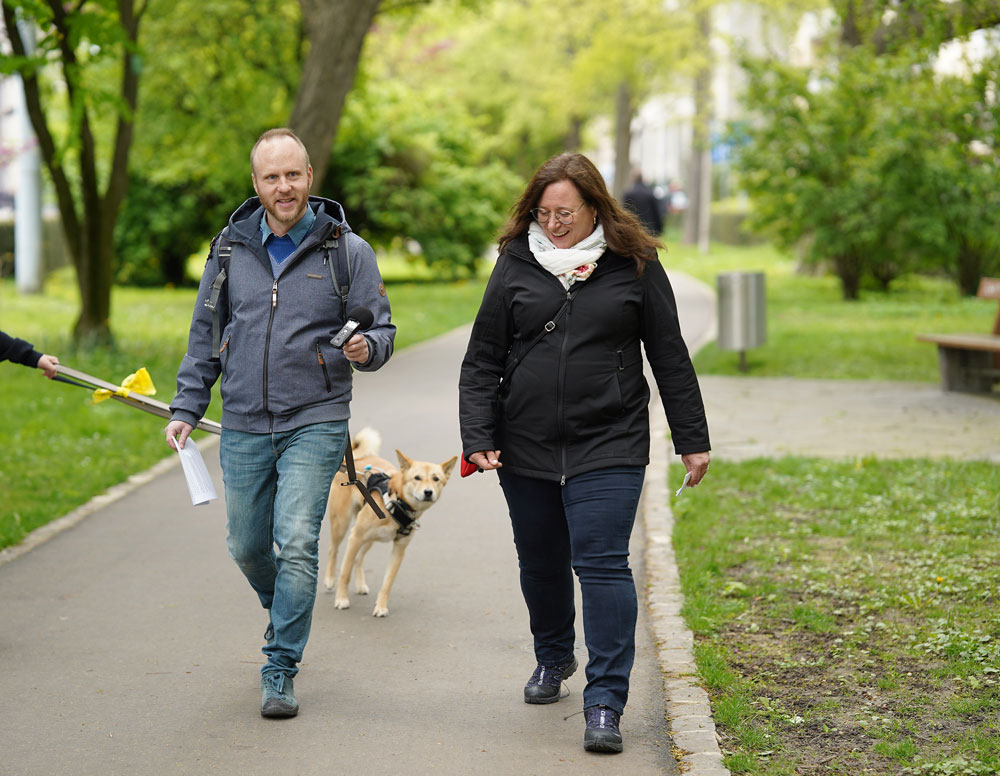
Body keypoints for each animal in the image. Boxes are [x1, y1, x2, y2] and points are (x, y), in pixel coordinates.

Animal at [324, 428, 458, 616]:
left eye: (436, 479)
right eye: (417, 478)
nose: (428, 492)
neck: (397, 502)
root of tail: (357, 460)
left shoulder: (399, 549)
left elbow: (387, 583)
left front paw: (381, 606)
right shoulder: (355, 536)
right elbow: (345, 573)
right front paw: (342, 599)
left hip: (369, 539)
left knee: (359, 559)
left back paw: (360, 585)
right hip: (342, 525)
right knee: (333, 550)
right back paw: (329, 579)